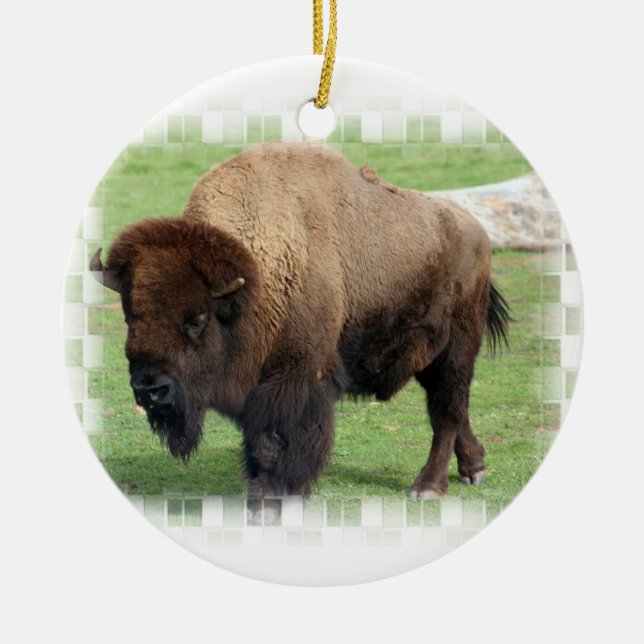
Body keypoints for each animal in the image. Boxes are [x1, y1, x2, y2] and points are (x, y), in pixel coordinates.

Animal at [90, 142, 510, 501]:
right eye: (130, 314)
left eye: (197, 319)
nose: (150, 390)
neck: (253, 282)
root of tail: (476, 233)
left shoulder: (294, 376)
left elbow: (275, 440)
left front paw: (276, 497)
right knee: (454, 408)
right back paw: (474, 468)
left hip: (456, 349)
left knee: (447, 412)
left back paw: (428, 487)